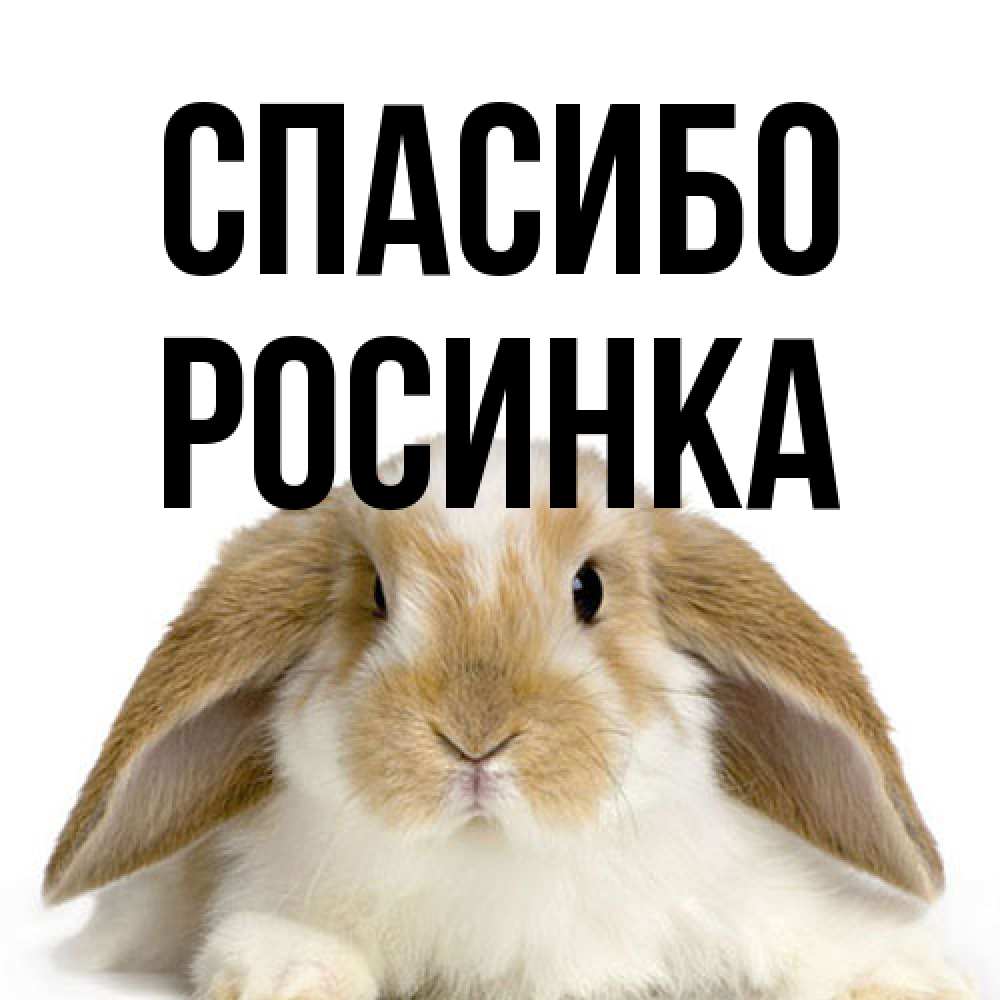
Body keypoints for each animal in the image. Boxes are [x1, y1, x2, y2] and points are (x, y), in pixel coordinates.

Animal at [45, 439, 975, 1000]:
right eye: (376, 596)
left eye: (589, 589)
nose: (475, 737)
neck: (495, 857)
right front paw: (290, 977)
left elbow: (819, 939)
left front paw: (910, 978)